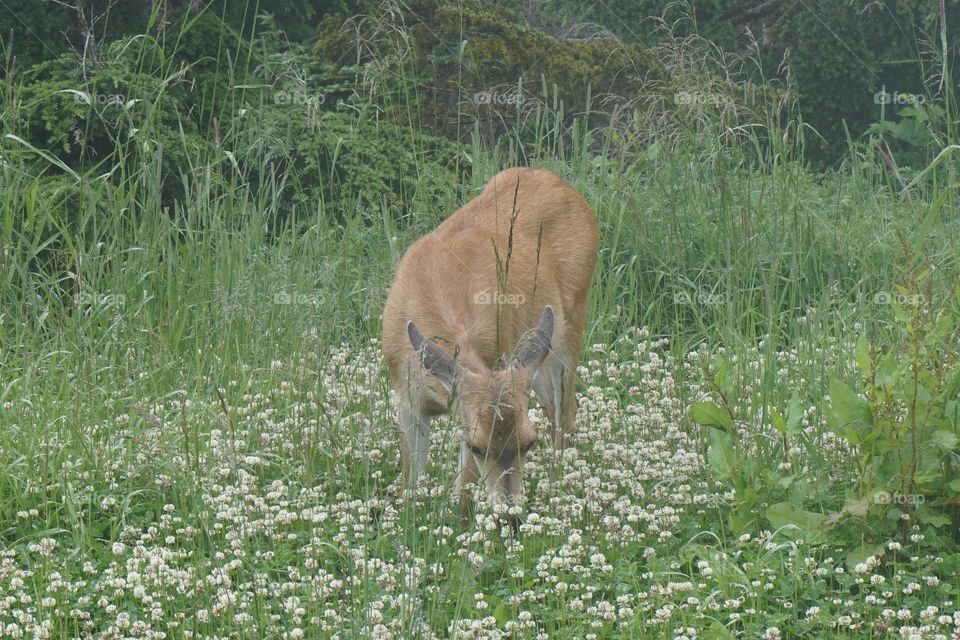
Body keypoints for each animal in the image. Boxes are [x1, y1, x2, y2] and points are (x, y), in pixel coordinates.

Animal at [378, 166, 596, 528]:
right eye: (479, 447)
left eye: (528, 443)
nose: (511, 518)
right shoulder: (408, 399)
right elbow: (411, 478)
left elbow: (464, 488)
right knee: (557, 407)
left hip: (571, 321)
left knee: (565, 411)